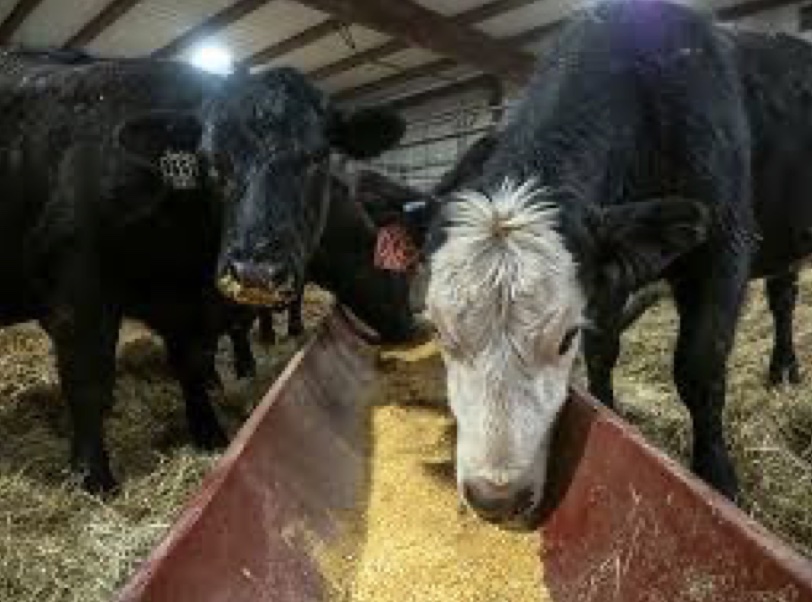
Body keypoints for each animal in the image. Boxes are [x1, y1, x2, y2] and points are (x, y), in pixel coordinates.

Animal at [0, 50, 402, 492]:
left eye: (317, 158)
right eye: (212, 163)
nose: (255, 272)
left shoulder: (191, 308)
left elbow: (193, 364)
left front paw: (209, 432)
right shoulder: (76, 295)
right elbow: (87, 382)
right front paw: (93, 476)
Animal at [422, 0, 812, 524]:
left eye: (564, 337)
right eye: (439, 331)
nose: (495, 498)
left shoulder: (724, 249)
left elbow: (700, 367)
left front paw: (717, 478)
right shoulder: (608, 270)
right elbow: (603, 350)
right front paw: (608, 407)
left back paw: (785, 368)